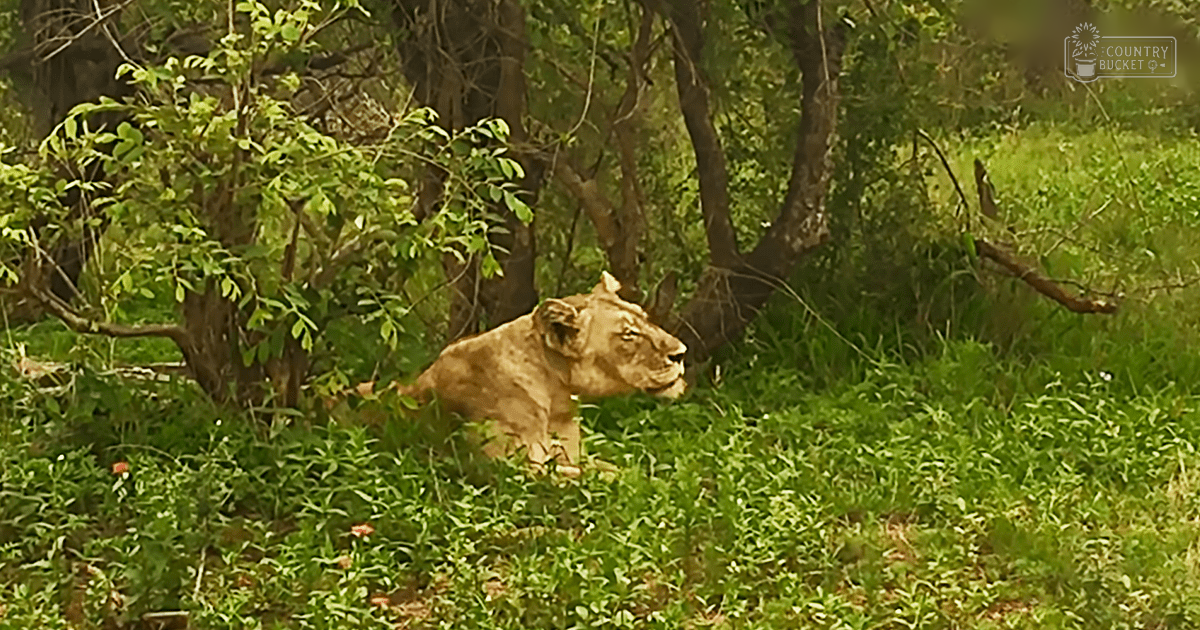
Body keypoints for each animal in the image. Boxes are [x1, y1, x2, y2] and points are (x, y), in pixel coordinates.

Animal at [395, 272, 687, 476]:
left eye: (645, 318)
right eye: (628, 334)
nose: (682, 353)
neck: (557, 399)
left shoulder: (574, 455)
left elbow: (616, 469)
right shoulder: (512, 469)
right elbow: (604, 478)